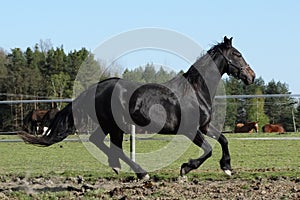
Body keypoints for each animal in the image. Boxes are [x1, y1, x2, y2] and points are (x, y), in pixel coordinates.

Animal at [19, 36, 255, 180]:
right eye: (237, 54)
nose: (251, 76)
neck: (195, 92)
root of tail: (97, 87)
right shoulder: (190, 130)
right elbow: (208, 150)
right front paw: (185, 168)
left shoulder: (204, 126)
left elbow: (223, 140)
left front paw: (227, 168)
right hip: (115, 125)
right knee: (113, 147)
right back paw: (141, 173)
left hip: (110, 125)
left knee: (100, 142)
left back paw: (119, 167)